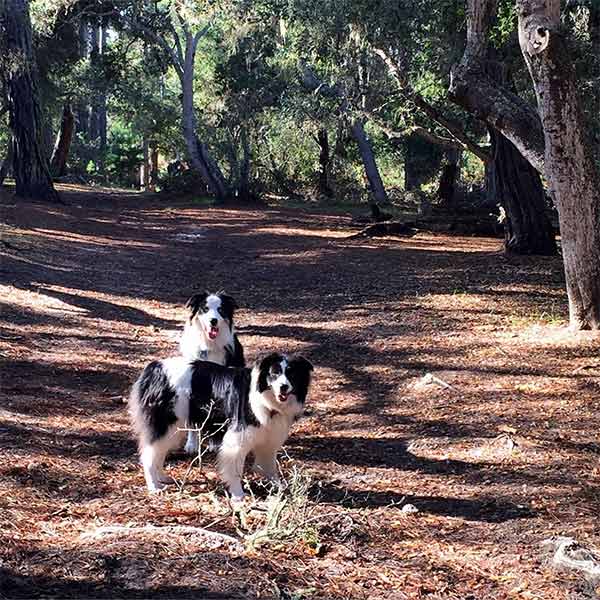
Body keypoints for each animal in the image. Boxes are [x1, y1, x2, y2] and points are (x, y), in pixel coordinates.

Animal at [127, 354, 314, 500]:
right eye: (274, 373)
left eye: (292, 374)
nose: (284, 387)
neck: (265, 399)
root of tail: (153, 368)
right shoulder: (237, 440)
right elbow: (235, 469)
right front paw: (238, 495)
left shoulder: (268, 440)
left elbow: (270, 468)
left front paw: (279, 488)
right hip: (165, 424)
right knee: (149, 455)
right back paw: (154, 486)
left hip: (173, 429)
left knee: (158, 453)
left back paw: (162, 477)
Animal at [179, 292, 245, 454]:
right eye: (205, 308)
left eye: (220, 310)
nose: (213, 321)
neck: (208, 345)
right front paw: (192, 444)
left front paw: (215, 443)